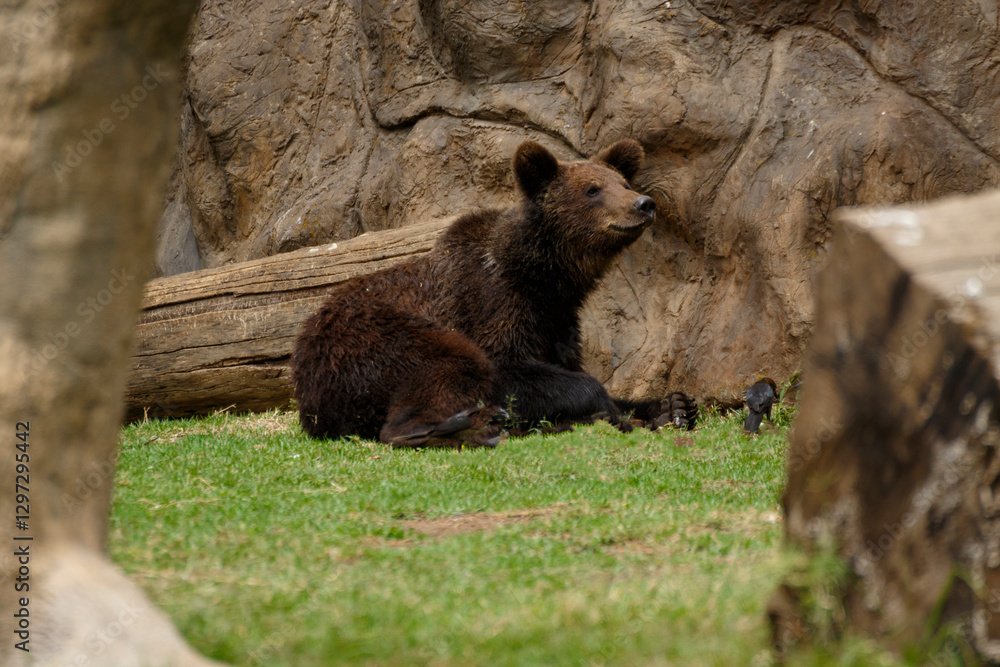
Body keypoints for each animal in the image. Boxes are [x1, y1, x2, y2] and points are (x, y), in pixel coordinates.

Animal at [292, 139, 697, 447]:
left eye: (623, 183)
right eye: (592, 189)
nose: (643, 204)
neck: (545, 279)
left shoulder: (557, 322)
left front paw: (672, 406)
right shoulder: (492, 301)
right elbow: (507, 370)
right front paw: (606, 407)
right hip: (371, 339)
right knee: (443, 368)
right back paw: (468, 427)